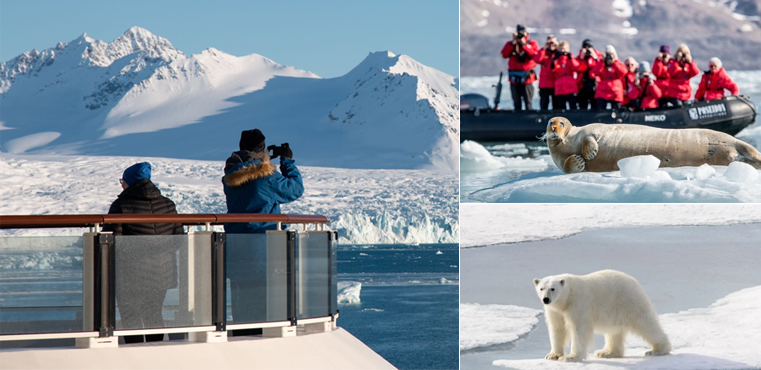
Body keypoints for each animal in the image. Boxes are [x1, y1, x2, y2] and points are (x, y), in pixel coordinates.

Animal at [532, 268, 668, 362]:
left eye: (553, 288)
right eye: (541, 288)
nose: (546, 299)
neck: (567, 298)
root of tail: (634, 281)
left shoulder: (578, 304)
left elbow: (578, 329)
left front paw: (570, 357)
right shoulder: (555, 311)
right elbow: (557, 328)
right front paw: (553, 355)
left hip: (629, 301)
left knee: (646, 324)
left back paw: (657, 350)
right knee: (614, 332)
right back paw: (606, 352)